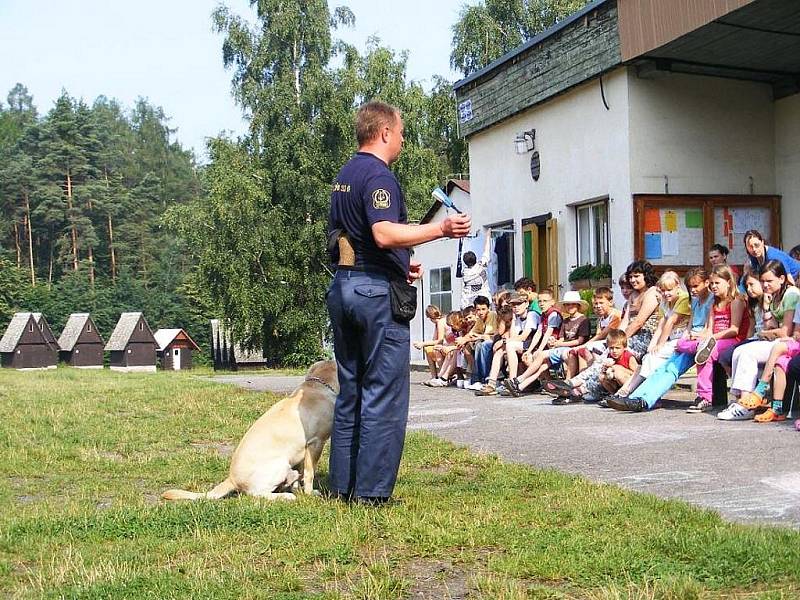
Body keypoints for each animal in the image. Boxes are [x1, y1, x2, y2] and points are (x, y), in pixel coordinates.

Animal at [162, 360, 338, 502]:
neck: (318, 386)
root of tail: (231, 479)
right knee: (257, 494)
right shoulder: (316, 442)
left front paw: (300, 489)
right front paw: (309, 493)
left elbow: (302, 472)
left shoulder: (303, 449)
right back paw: (285, 496)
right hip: (279, 465)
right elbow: (309, 473)